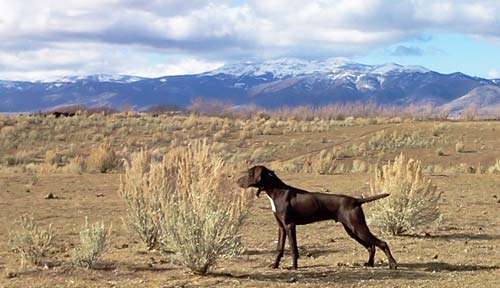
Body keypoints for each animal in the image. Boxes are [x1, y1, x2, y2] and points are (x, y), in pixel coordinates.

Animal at [236, 165, 396, 268]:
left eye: (249, 173)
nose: (237, 181)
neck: (277, 192)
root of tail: (356, 200)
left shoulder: (290, 225)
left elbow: (293, 248)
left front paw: (294, 267)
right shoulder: (281, 227)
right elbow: (279, 249)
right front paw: (274, 265)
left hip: (357, 227)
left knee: (382, 243)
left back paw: (392, 264)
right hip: (352, 230)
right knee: (371, 246)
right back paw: (369, 264)